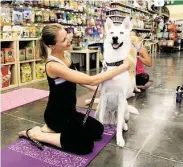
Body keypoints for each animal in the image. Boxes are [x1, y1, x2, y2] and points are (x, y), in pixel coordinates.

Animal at [94, 17, 139, 147]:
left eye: (121, 33)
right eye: (112, 33)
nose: (115, 38)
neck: (114, 64)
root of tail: (111, 119)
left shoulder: (120, 97)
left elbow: (119, 125)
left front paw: (120, 139)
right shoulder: (104, 96)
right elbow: (100, 122)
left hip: (124, 107)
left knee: (122, 120)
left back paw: (124, 126)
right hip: (98, 109)